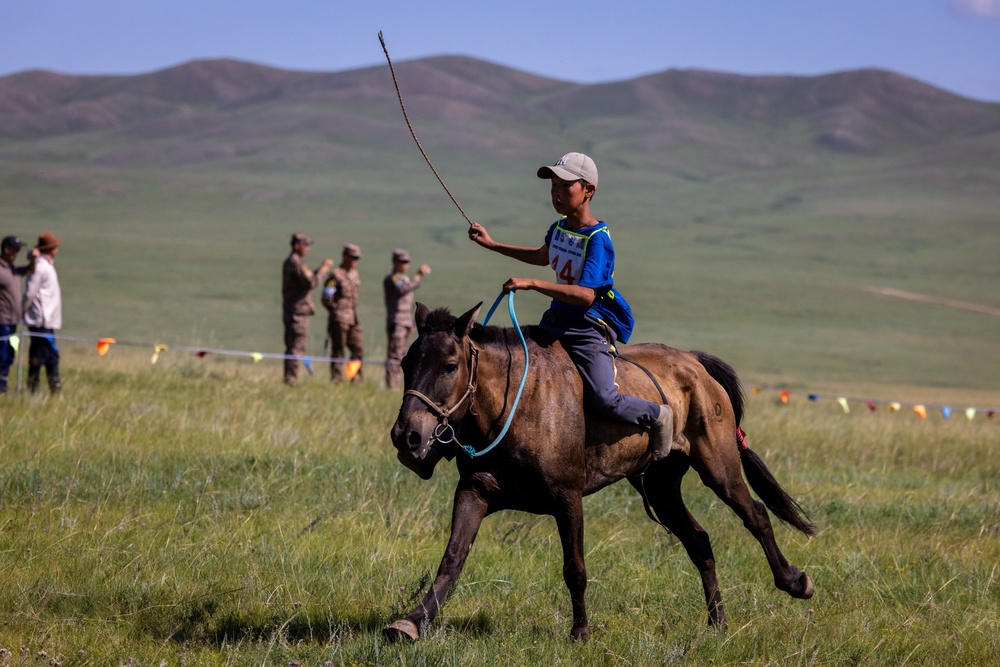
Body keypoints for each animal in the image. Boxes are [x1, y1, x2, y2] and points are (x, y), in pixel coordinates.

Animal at [386, 302, 816, 640]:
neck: (514, 405)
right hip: (661, 487)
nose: (407, 436)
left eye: (449, 366)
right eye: (406, 363)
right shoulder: (475, 491)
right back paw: (718, 622)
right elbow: (452, 559)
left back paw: (795, 582)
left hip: (718, 467)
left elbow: (574, 568)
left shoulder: (567, 498)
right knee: (699, 541)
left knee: (755, 515)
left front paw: (580, 631)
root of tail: (696, 364)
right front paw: (412, 622)